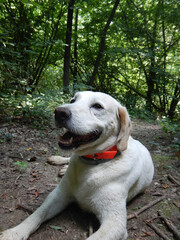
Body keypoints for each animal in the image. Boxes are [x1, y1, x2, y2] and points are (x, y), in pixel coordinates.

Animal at [0, 91, 154, 240]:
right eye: (73, 100)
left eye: (97, 106)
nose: (59, 112)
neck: (92, 163)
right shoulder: (58, 195)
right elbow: (36, 214)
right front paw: (14, 232)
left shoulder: (115, 223)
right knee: (69, 158)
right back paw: (59, 162)